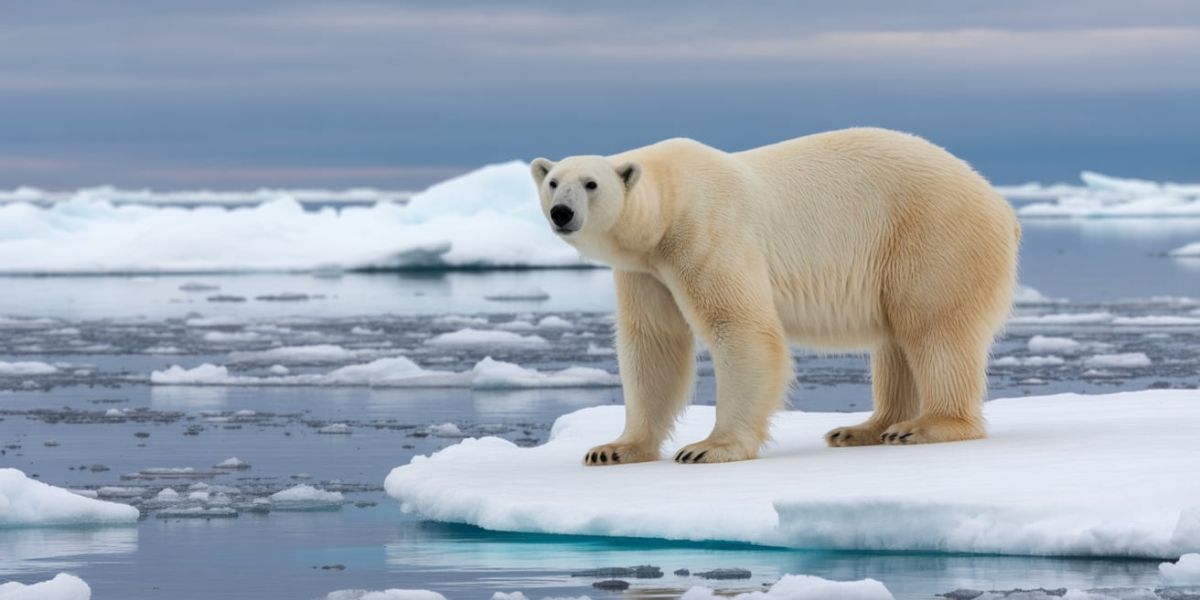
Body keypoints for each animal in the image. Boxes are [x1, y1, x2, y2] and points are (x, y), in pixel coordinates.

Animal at [530, 127, 1020, 466]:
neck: (670, 202)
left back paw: (924, 426)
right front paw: (613, 448)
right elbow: (654, 343)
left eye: (591, 184)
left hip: (932, 235)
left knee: (933, 327)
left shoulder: (707, 235)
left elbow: (741, 328)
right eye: (553, 182)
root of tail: (1001, 205)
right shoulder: (645, 270)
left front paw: (708, 448)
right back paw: (862, 428)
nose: (562, 212)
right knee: (895, 342)